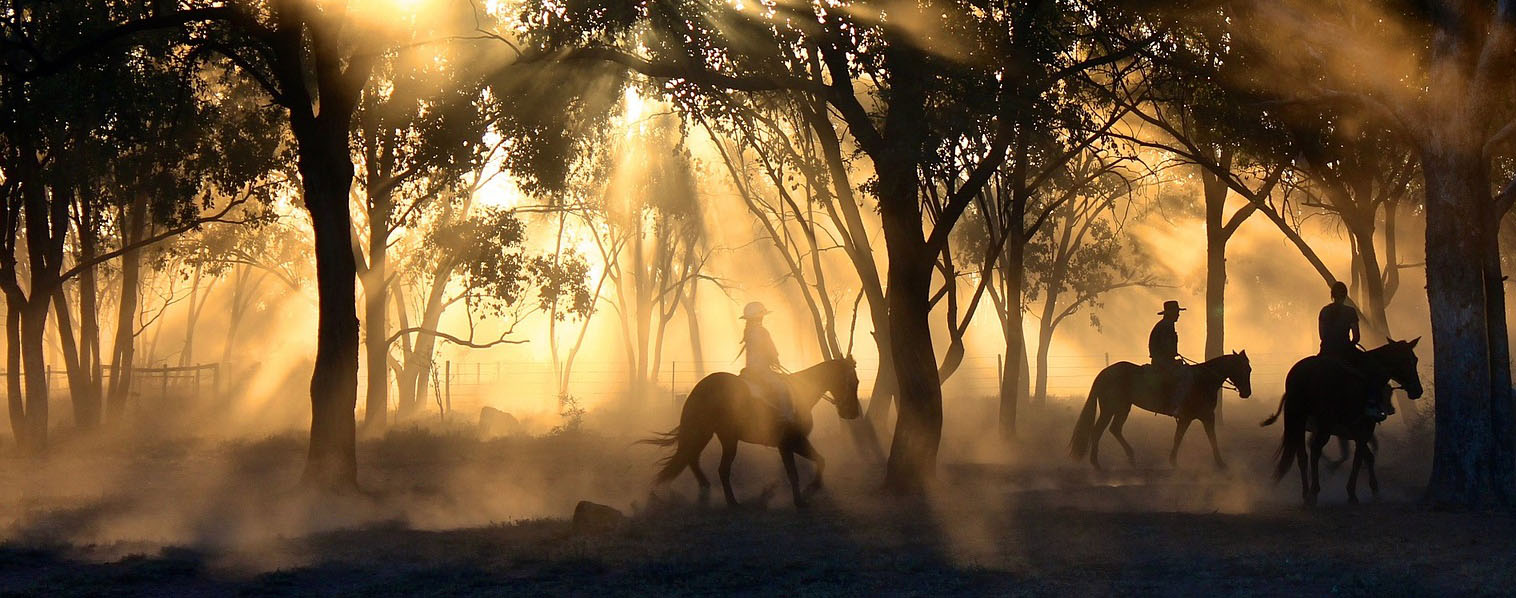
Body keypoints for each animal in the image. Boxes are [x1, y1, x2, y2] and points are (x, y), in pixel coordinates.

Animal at [633, 356, 861, 506]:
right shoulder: (791, 442)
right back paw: (733, 503)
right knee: (721, 469)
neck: (800, 392)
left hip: (706, 433)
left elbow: (818, 461)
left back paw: (707, 490)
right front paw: (803, 497)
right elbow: (797, 471)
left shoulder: (790, 444)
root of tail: (701, 388)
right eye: (855, 381)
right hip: (727, 439)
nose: (852, 413)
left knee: (692, 459)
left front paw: (809, 490)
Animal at [1067, 350, 1255, 470]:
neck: (1202, 380)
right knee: (1098, 430)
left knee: (1115, 429)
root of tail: (1104, 373)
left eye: (1249, 369)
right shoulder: (1196, 417)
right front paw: (1220, 463)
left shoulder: (1203, 417)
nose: (1247, 393)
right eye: (1244, 369)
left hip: (1123, 408)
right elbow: (1191, 438)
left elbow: (1196, 437)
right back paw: (1096, 463)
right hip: (1110, 409)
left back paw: (1131, 457)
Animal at [1255, 336, 1418, 503]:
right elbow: (1359, 458)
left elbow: (1366, 456)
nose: (1417, 390)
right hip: (1325, 424)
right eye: (1410, 360)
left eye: (1415, 359)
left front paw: (1373, 488)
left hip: (1299, 423)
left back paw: (1306, 493)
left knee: (1302, 455)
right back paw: (1314, 492)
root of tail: (1304, 373)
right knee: (1315, 450)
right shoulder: (1365, 427)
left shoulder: (1354, 429)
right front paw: (1354, 492)